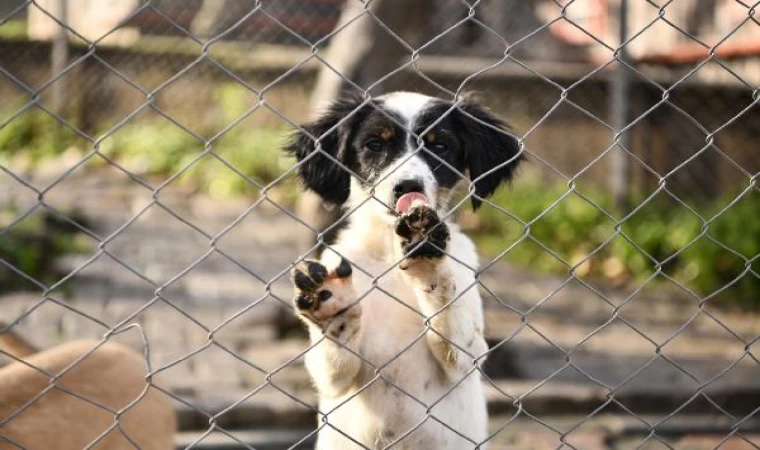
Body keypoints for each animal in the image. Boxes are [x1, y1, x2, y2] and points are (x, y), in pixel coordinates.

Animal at [284, 92, 524, 450]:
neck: (388, 256)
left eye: (440, 147)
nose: (408, 186)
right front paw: (332, 305)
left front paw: (426, 256)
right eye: (374, 144)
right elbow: (332, 356)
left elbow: (448, 308)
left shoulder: (469, 355)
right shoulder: (332, 378)